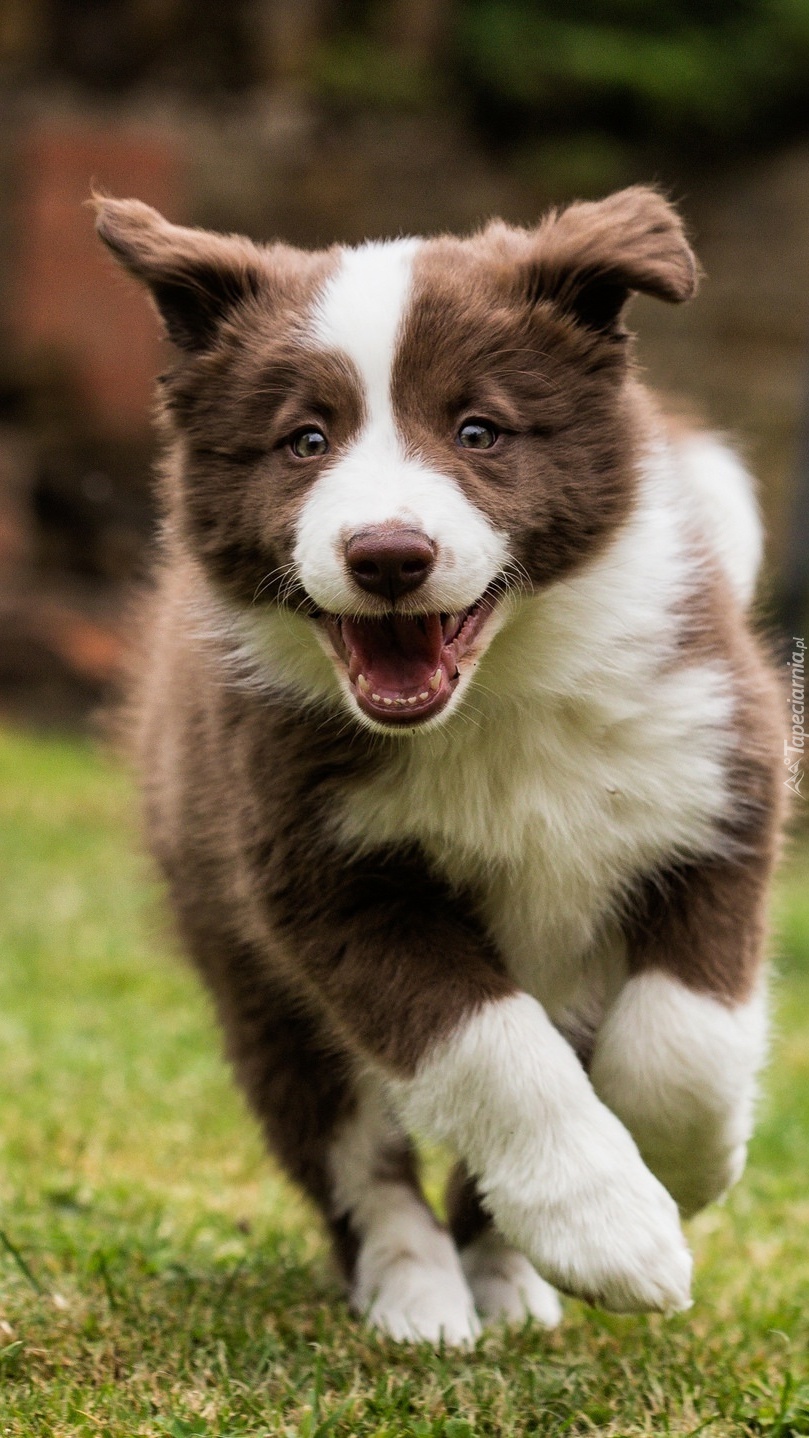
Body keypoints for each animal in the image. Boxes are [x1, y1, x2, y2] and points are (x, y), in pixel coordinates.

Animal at [94, 185, 787, 1340]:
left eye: (479, 431)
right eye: (305, 440)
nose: (386, 556)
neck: (494, 697)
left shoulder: (715, 787)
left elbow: (683, 1039)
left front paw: (674, 1175)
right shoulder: (323, 874)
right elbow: (491, 1052)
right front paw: (612, 1230)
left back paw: (506, 1278)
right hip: (253, 980)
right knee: (351, 1157)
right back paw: (418, 1293)